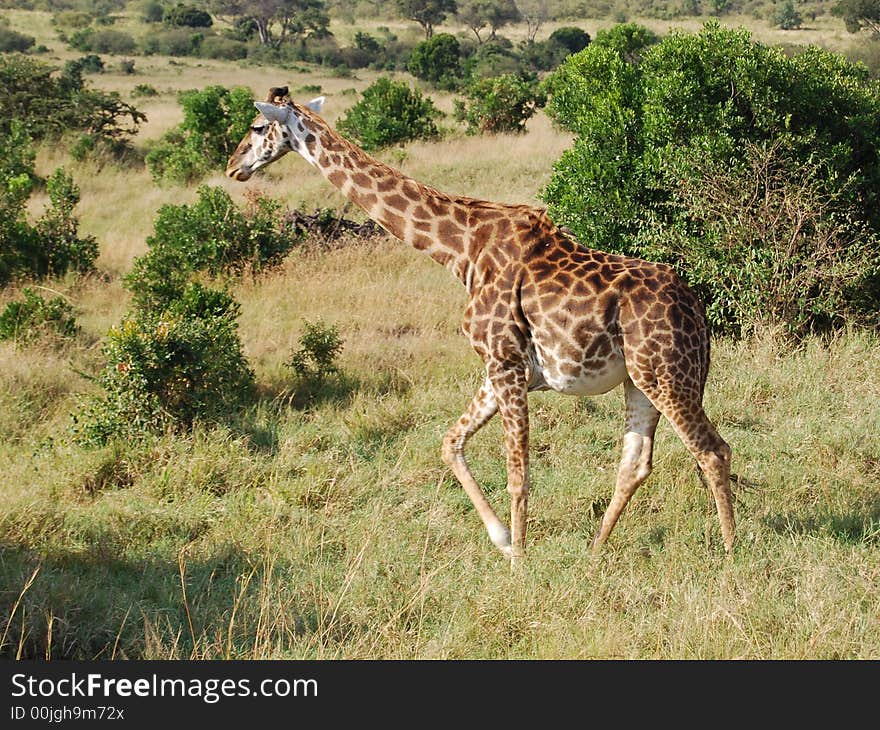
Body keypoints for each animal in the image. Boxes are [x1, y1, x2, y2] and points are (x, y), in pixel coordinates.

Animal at [227, 88, 736, 556]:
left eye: (257, 127)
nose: (233, 167)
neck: (461, 251)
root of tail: (697, 310)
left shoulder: (505, 363)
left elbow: (518, 473)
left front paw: (520, 565)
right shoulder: (501, 369)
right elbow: (450, 442)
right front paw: (504, 541)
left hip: (667, 374)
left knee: (712, 450)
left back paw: (731, 556)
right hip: (640, 378)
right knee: (636, 463)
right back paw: (594, 554)